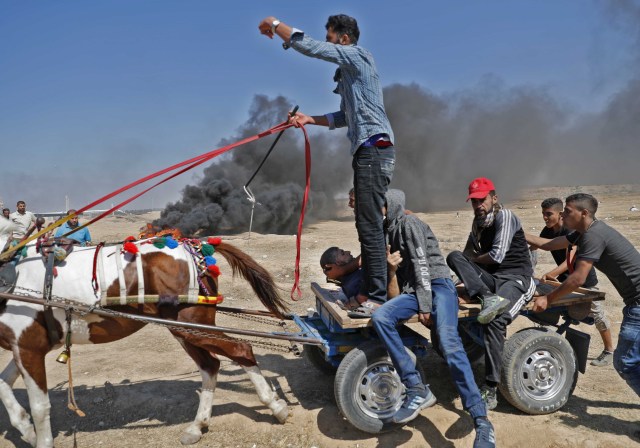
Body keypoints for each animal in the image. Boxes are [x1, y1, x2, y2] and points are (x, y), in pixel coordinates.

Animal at [0, 234, 290, 448]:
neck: (11, 275)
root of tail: (196, 245)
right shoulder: (21, 346)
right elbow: (4, 386)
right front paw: (26, 429)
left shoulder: (29, 346)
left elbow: (39, 406)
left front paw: (39, 437)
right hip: (185, 329)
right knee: (210, 366)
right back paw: (198, 425)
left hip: (194, 326)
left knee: (242, 349)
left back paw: (276, 406)